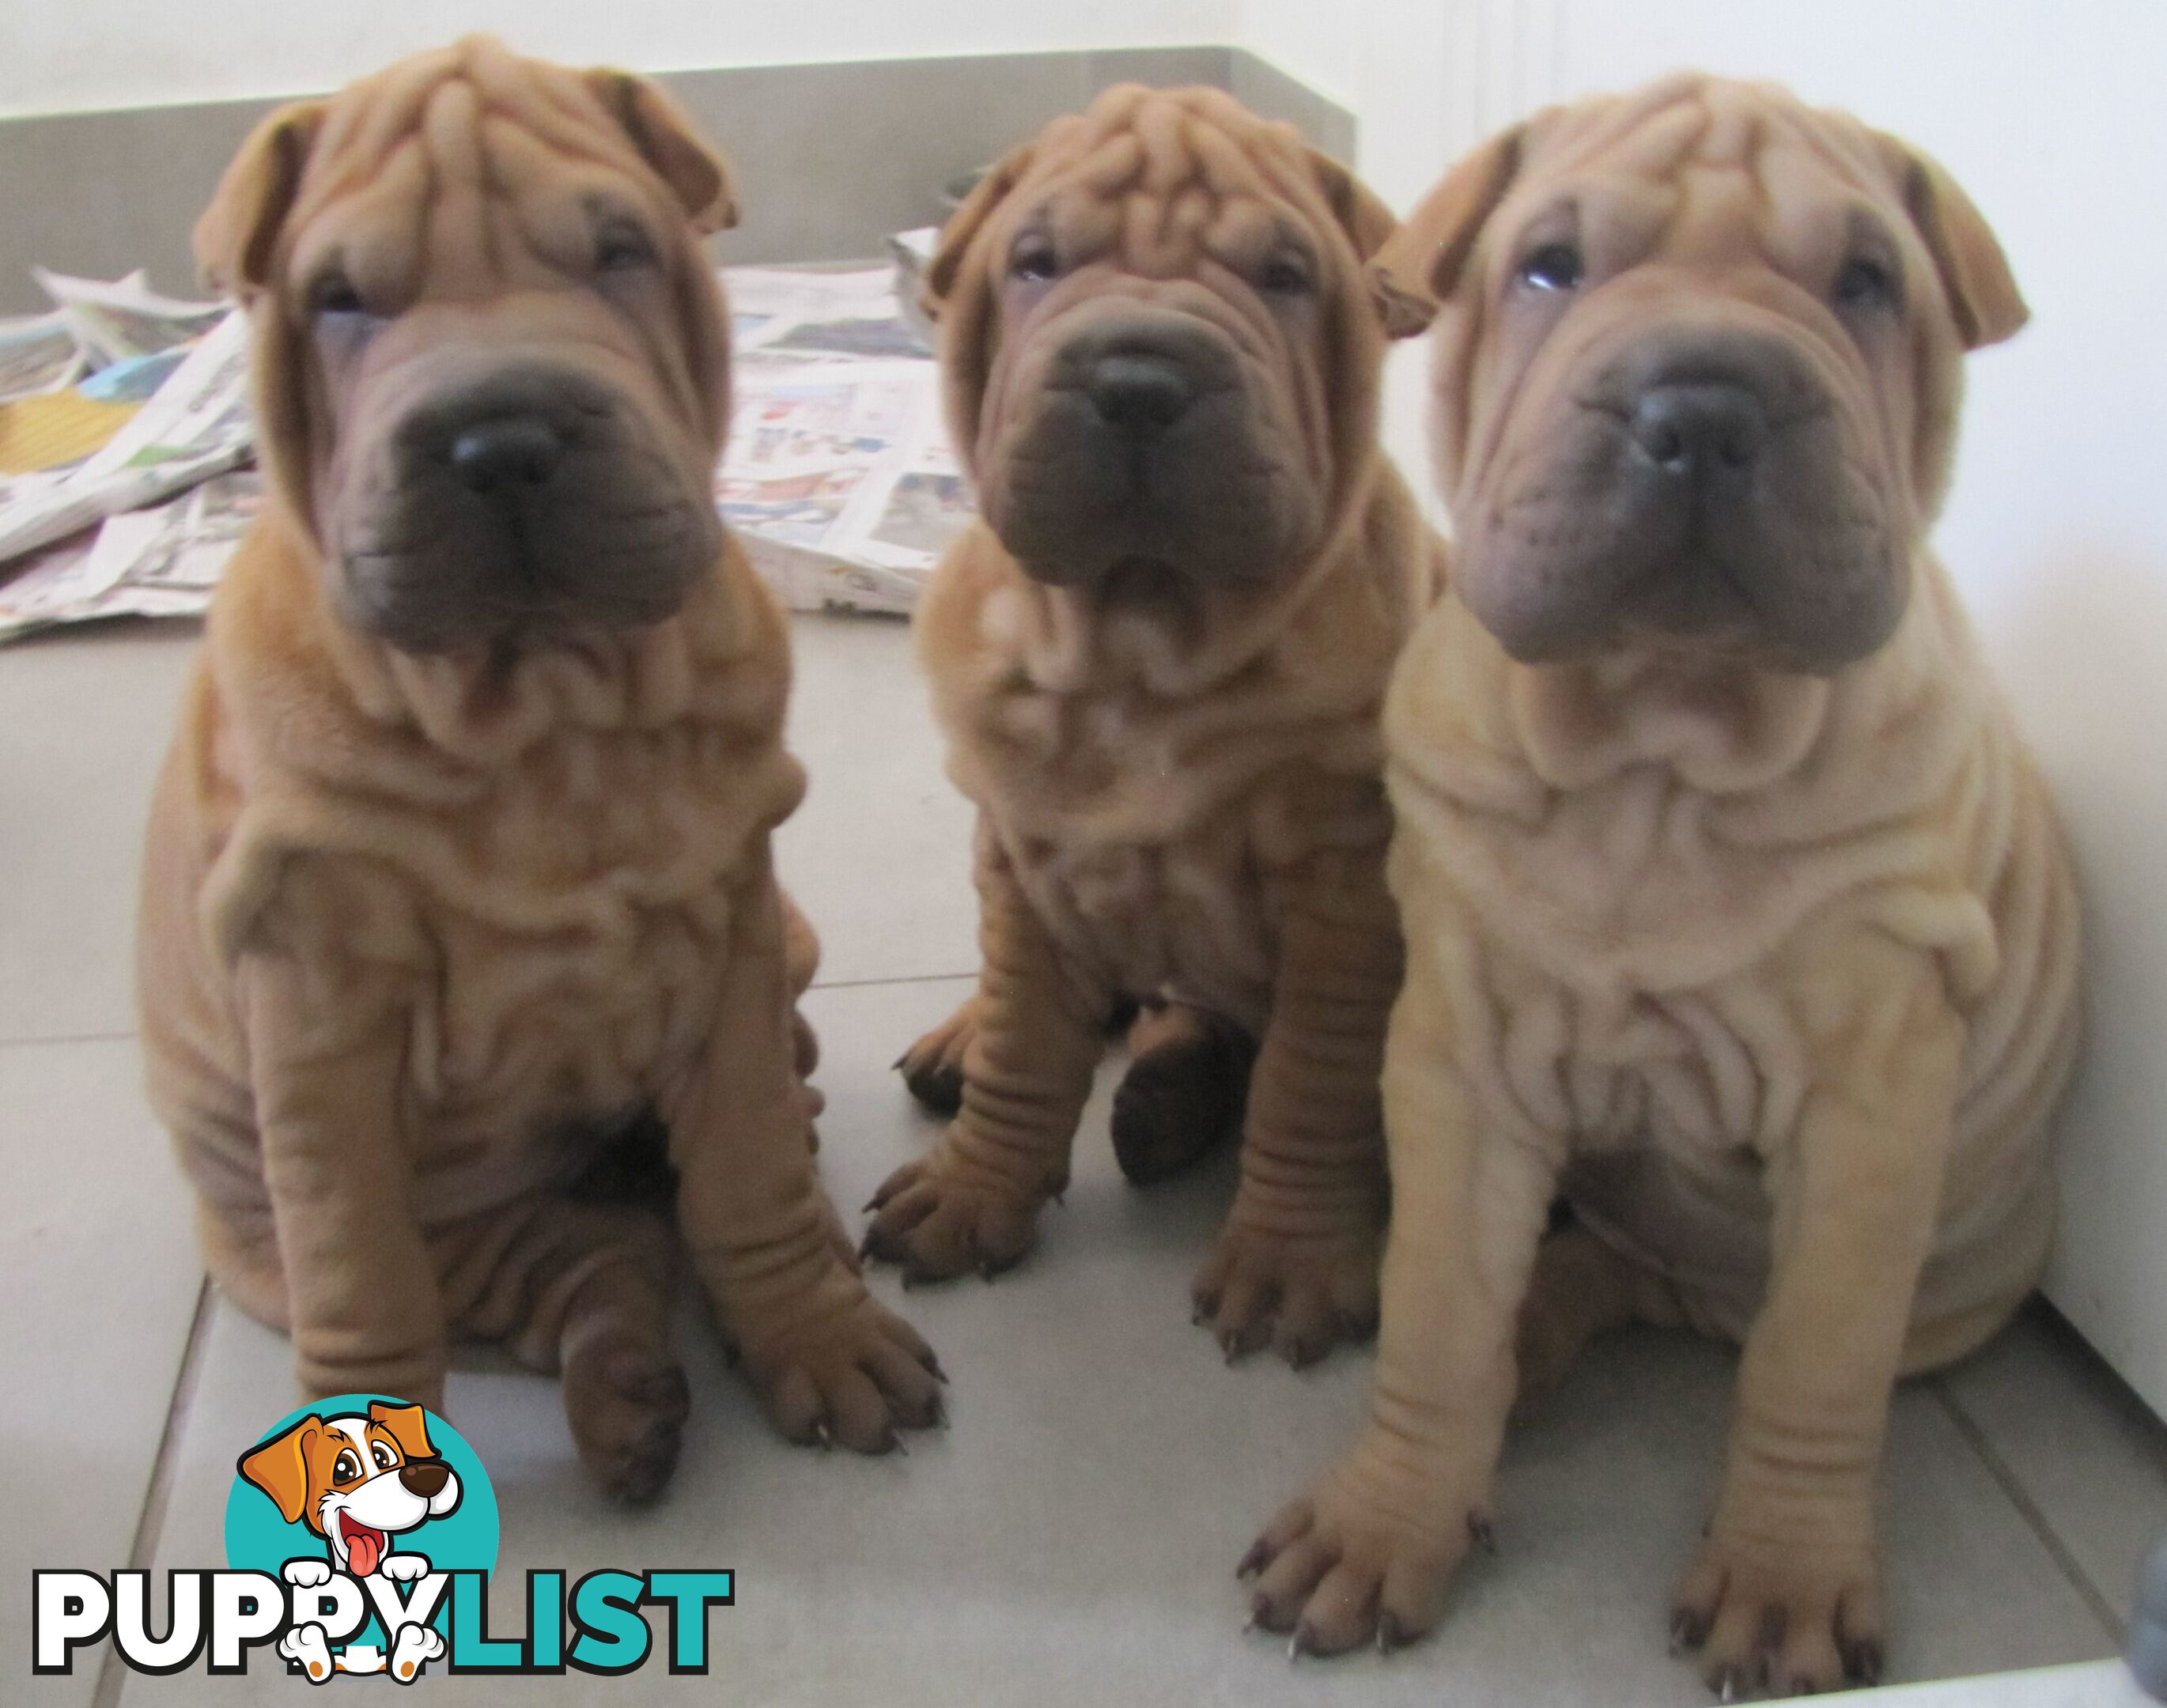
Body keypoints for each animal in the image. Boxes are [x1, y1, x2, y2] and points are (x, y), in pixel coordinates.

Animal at [137, 36, 940, 1508]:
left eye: (618, 252)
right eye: (339, 301)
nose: (499, 435)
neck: (542, 713)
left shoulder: (736, 931)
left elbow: (745, 1169)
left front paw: (813, 1330)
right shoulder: (323, 1033)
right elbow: (365, 1276)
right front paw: (346, 1453)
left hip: (784, 952)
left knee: (670, 1211)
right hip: (376, 1231)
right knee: (582, 1270)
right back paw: (626, 1401)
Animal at [858, 86, 1439, 1370]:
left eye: (1283, 274)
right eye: (1034, 262)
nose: (1137, 375)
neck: (1140, 649)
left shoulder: (1344, 905)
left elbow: (1310, 1086)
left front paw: (1287, 1264)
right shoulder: (1024, 854)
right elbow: (1027, 1041)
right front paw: (973, 1191)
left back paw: (1164, 1104)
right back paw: (999, 1051)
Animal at [1257, 73, 2080, 1691]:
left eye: (1866, 282)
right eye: (1548, 267)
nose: (1705, 404)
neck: (1658, 760)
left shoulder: (1871, 1110)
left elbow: (1816, 1367)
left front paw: (1784, 1578)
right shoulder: (1456, 1069)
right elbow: (1435, 1318)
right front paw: (1388, 1521)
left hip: (1936, 1284)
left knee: (1729, 1318)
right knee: (1589, 1280)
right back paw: (1529, 1346)